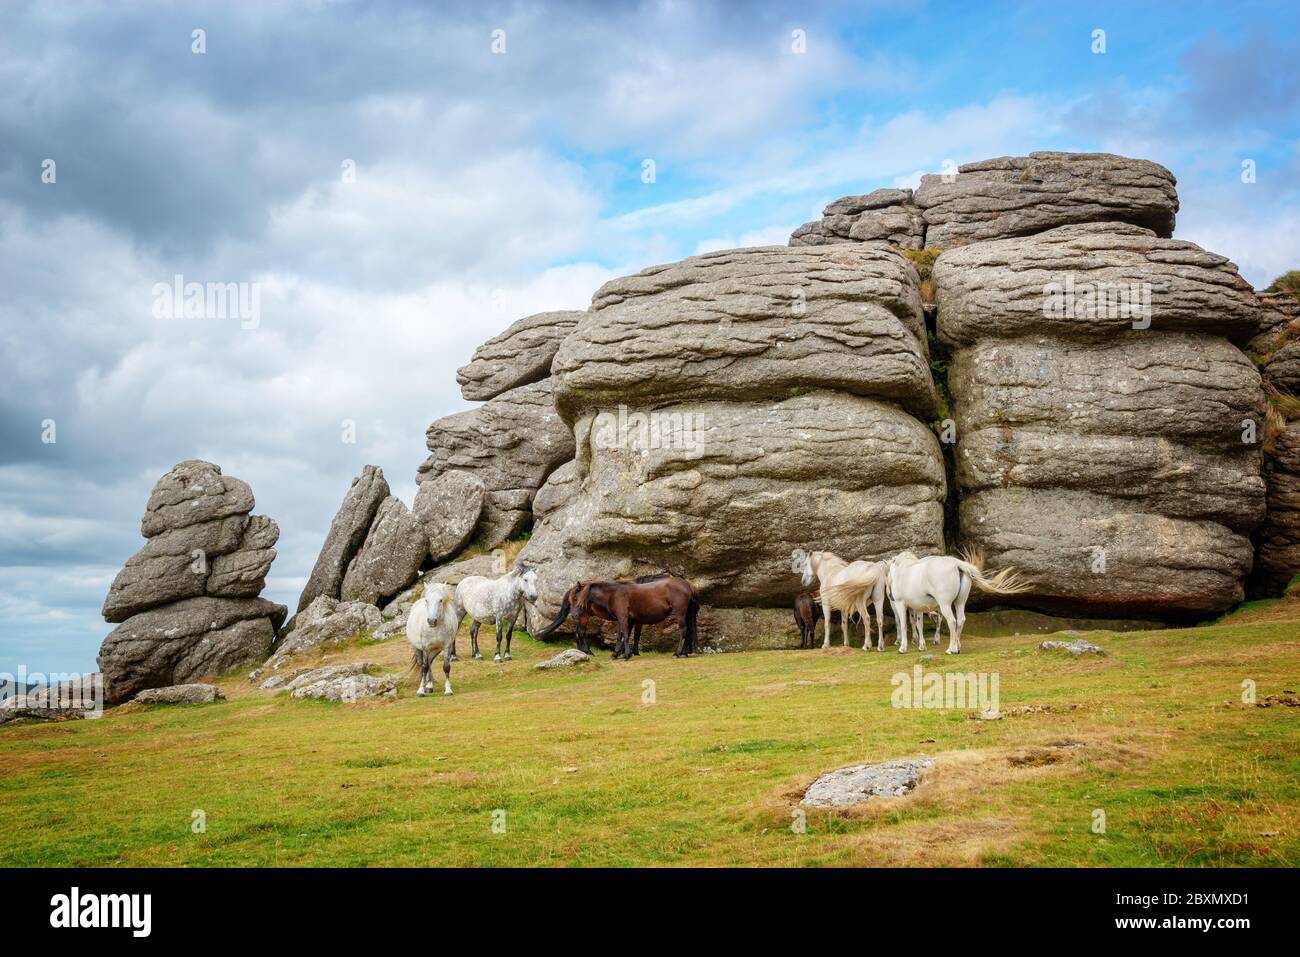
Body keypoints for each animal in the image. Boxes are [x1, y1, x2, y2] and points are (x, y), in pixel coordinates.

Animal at [535, 574, 707, 657]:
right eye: (573, 600)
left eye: (579, 599)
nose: (574, 614)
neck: (615, 594)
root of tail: (688, 585)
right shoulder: (627, 619)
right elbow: (624, 635)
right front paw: (622, 653)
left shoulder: (626, 618)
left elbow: (625, 634)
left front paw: (625, 654)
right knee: (579, 633)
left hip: (680, 613)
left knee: (684, 631)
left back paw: (678, 653)